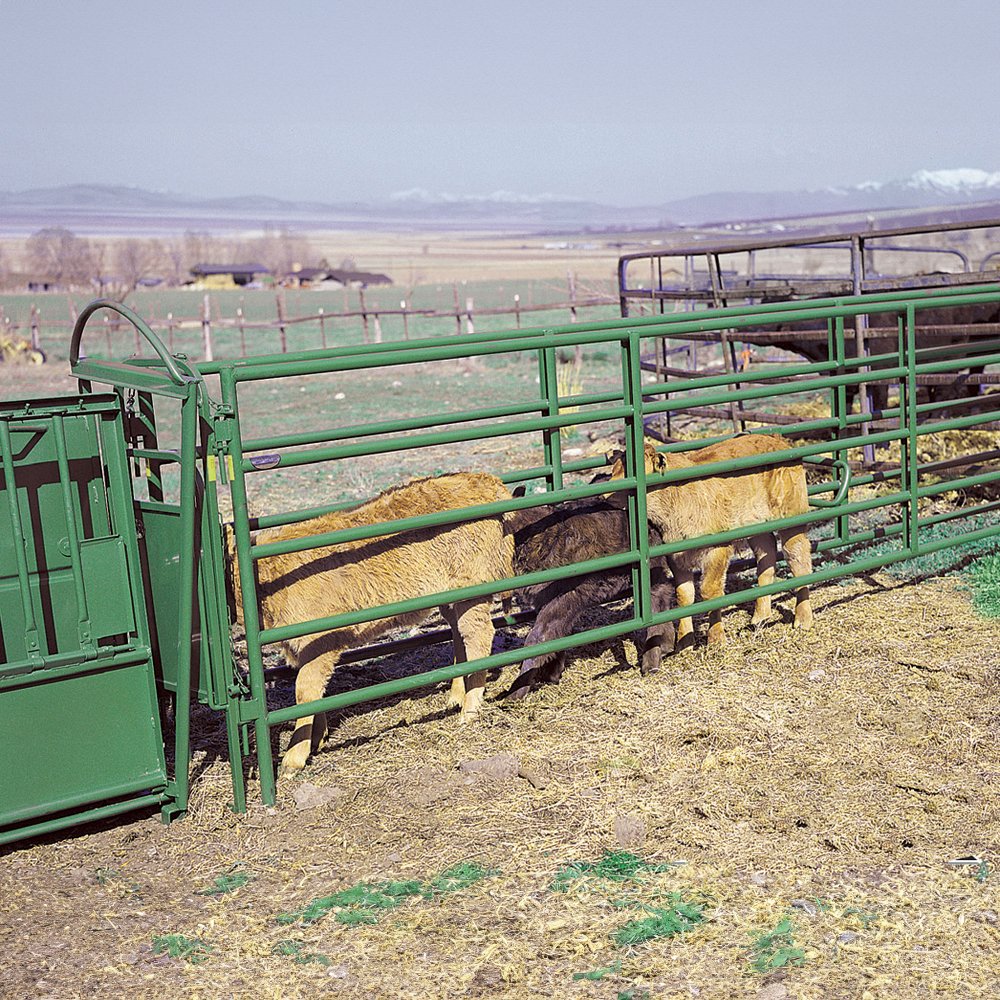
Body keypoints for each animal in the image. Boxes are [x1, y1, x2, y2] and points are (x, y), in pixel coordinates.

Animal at [227, 472, 515, 776]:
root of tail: (484, 480)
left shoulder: (320, 643)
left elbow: (305, 692)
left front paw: (294, 758)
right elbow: (317, 693)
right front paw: (318, 738)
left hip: (473, 590)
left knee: (478, 637)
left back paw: (469, 710)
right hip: (452, 599)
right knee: (461, 638)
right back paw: (457, 695)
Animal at [608, 435, 813, 648]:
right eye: (612, 473)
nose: (606, 499)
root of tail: (777, 439)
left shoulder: (717, 550)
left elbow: (709, 592)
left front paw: (716, 639)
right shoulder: (676, 556)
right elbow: (684, 595)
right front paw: (685, 641)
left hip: (793, 518)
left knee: (799, 562)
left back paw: (803, 619)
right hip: (757, 526)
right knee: (767, 556)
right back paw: (760, 616)